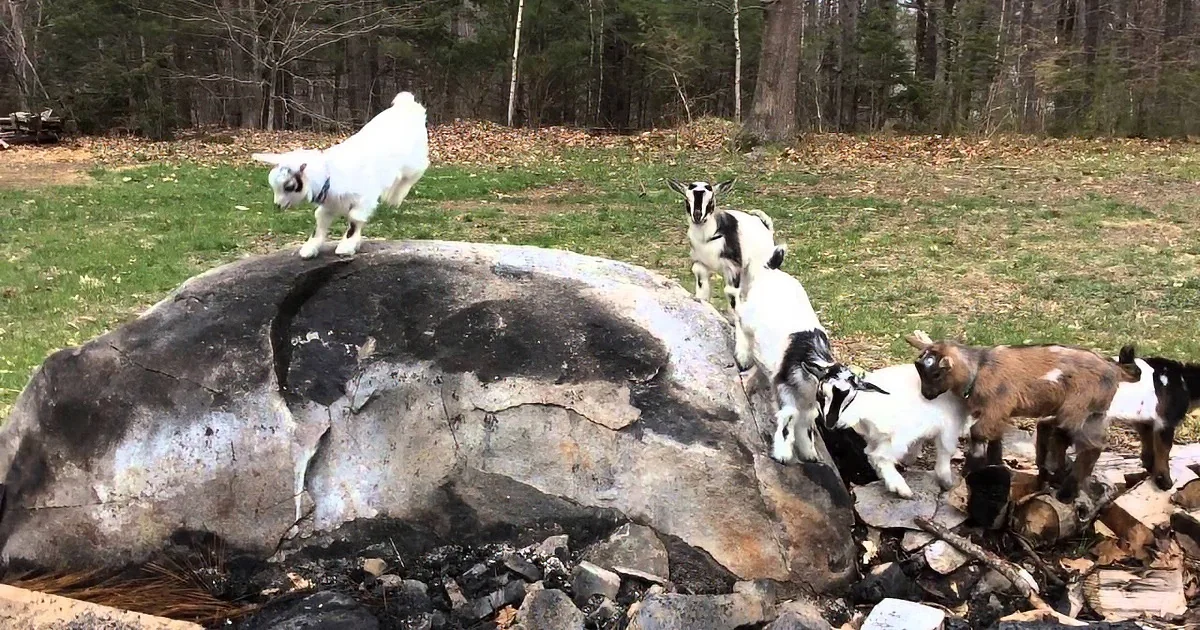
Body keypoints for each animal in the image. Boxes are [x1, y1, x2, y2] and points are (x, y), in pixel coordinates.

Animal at [252, 91, 429, 258]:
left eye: (289, 186)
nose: (277, 205)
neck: (329, 175)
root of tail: (409, 105)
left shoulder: (363, 199)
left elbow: (354, 220)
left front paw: (346, 247)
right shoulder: (329, 205)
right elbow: (320, 221)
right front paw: (310, 248)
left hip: (413, 160)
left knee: (416, 171)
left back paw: (393, 199)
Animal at [732, 258, 886, 465]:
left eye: (850, 400)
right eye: (824, 393)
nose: (830, 422)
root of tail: (771, 269)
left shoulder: (808, 399)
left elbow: (807, 420)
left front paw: (809, 453)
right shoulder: (784, 386)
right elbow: (790, 415)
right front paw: (782, 454)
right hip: (746, 316)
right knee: (738, 316)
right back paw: (742, 356)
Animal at [827, 363, 971, 498]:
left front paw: (910, 460)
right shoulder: (949, 426)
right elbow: (946, 450)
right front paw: (946, 482)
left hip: (878, 436)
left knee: (870, 453)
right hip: (898, 435)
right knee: (879, 456)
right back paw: (901, 488)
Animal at [905, 334, 1139, 502]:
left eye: (936, 373)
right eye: (919, 371)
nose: (926, 394)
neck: (980, 368)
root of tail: (1116, 370)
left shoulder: (998, 405)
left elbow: (977, 433)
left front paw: (970, 469)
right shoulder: (997, 413)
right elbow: (995, 437)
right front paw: (995, 466)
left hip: (1079, 406)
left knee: (1075, 439)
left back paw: (1062, 485)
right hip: (1094, 413)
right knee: (1082, 442)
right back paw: (1058, 479)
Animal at [1107, 345, 1200, 490]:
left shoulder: (1145, 420)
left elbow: (1148, 443)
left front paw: (1149, 467)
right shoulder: (1166, 419)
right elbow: (1164, 448)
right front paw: (1165, 482)